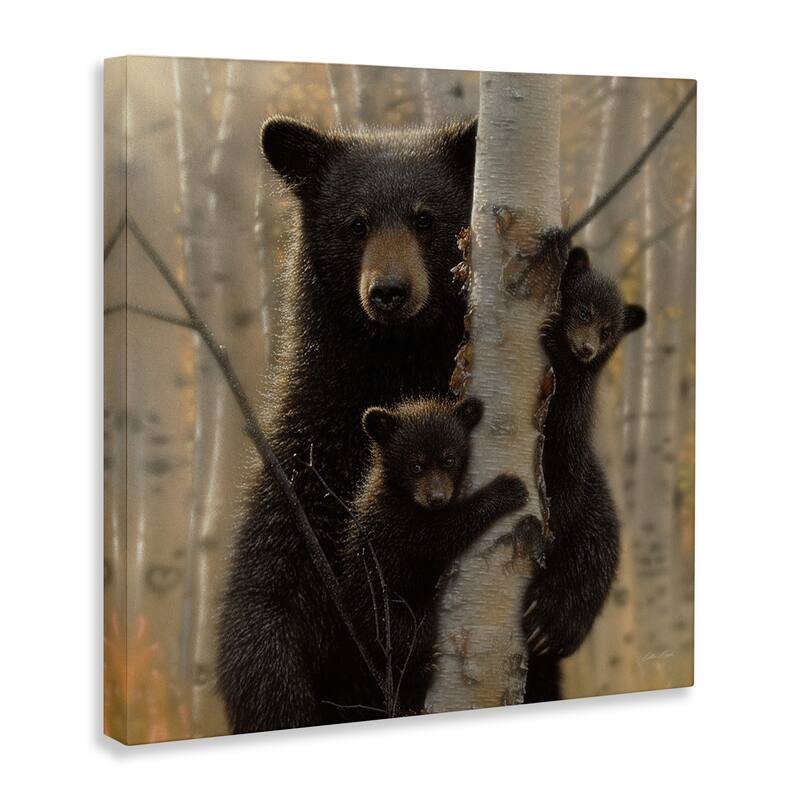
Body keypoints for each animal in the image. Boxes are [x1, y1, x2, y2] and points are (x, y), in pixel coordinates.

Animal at [216, 116, 478, 734]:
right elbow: (267, 602)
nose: (388, 291)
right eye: (354, 223)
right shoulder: (307, 462)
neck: (393, 366)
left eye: (425, 217)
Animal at [328, 396, 529, 721]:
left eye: (449, 459)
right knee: (407, 637)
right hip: (385, 611)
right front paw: (505, 490)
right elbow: (439, 536)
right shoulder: (398, 525)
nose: (436, 498)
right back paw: (421, 669)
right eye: (416, 465)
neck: (404, 496)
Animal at [523, 246, 647, 703]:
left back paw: (547, 623)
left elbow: (564, 485)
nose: (588, 348)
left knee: (590, 566)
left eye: (609, 330)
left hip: (599, 532)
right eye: (581, 310)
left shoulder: (571, 432)